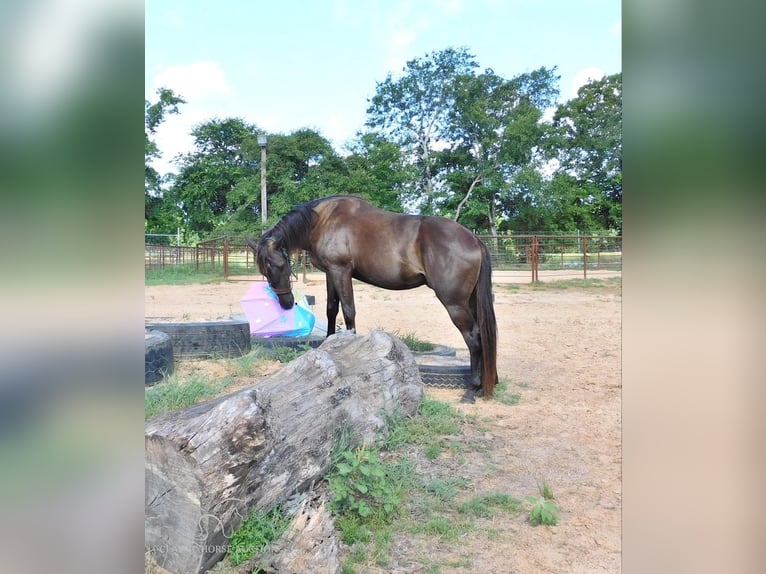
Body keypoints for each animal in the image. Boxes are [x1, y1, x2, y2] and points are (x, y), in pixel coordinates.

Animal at [244, 196, 498, 402]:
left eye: (279, 265)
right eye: (264, 271)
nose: (286, 303)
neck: (323, 220)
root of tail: (474, 240)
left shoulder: (341, 271)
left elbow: (348, 311)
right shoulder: (330, 273)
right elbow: (331, 309)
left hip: (455, 304)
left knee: (474, 338)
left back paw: (472, 390)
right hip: (470, 302)